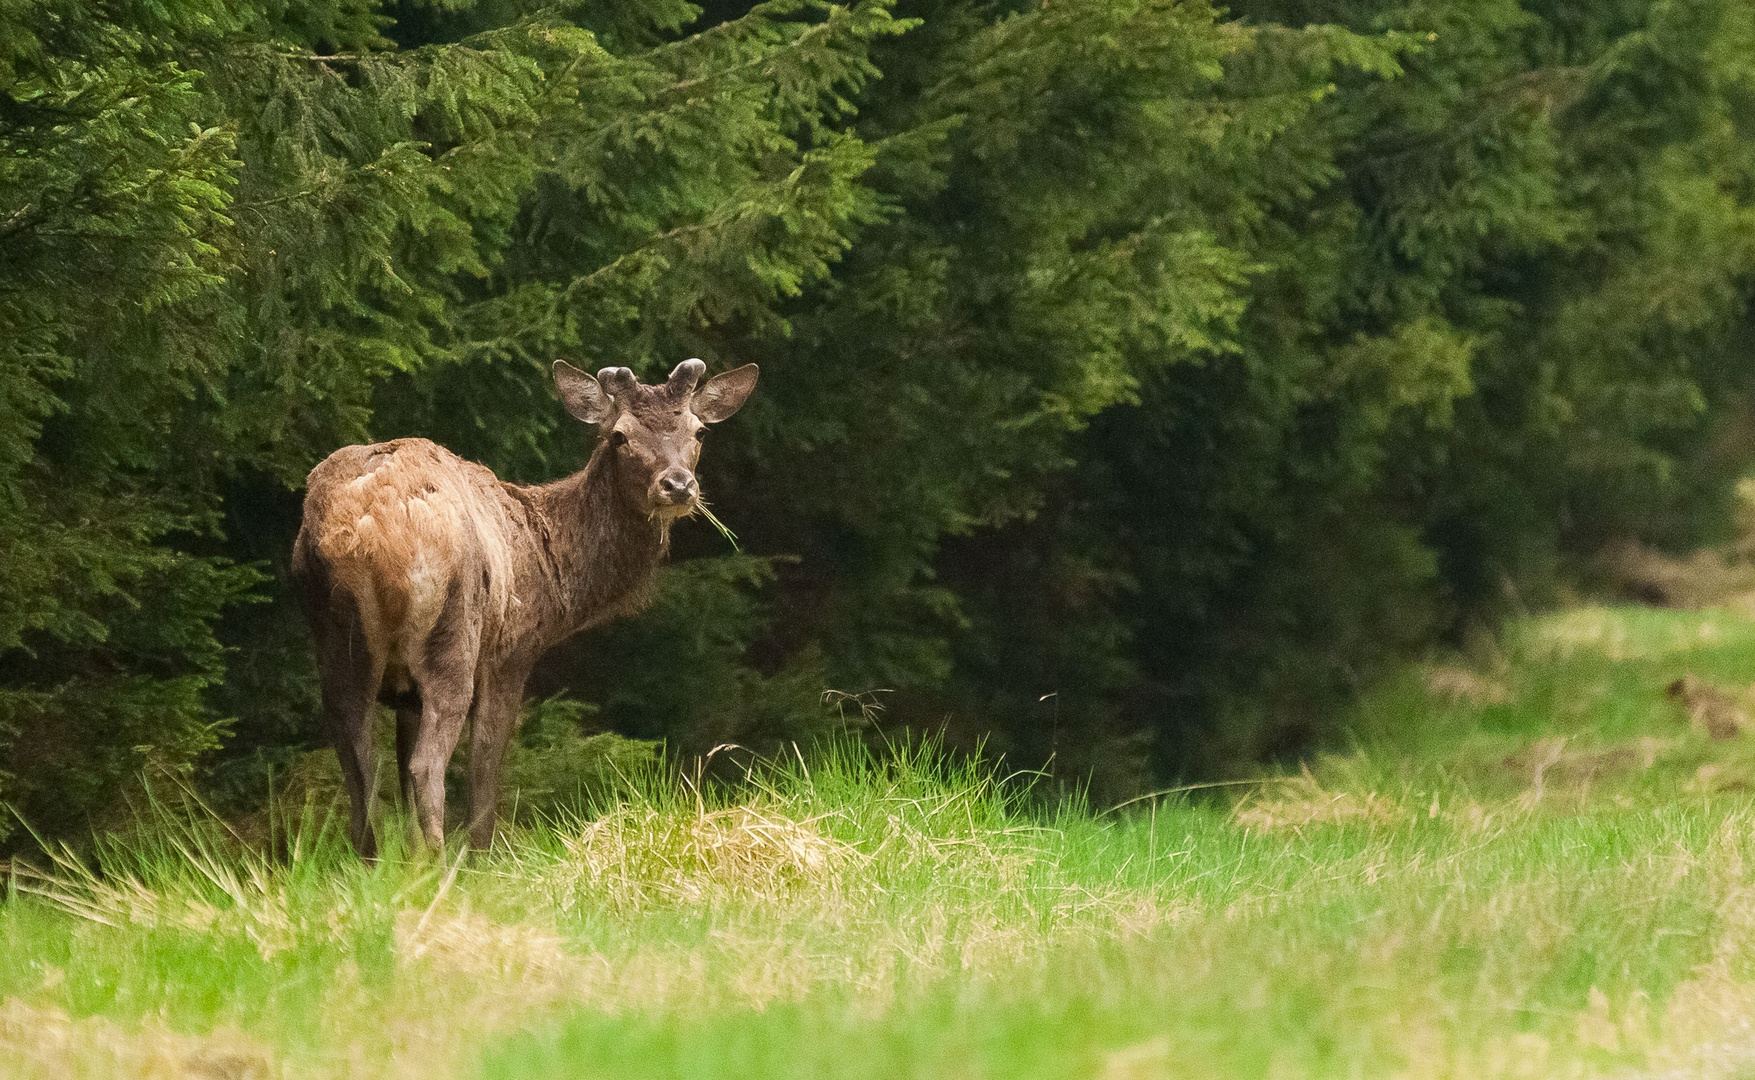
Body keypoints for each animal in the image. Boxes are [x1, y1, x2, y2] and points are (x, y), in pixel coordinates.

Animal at [291, 360, 758, 856]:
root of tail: (363, 535)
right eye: (619, 435)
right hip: (452, 635)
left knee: (359, 765)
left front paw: (411, 860)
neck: (551, 572)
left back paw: (378, 860)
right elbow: (484, 774)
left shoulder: (405, 695)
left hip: (336, 644)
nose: (678, 485)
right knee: (426, 765)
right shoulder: (511, 655)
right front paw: (479, 858)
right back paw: (441, 861)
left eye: (699, 430)